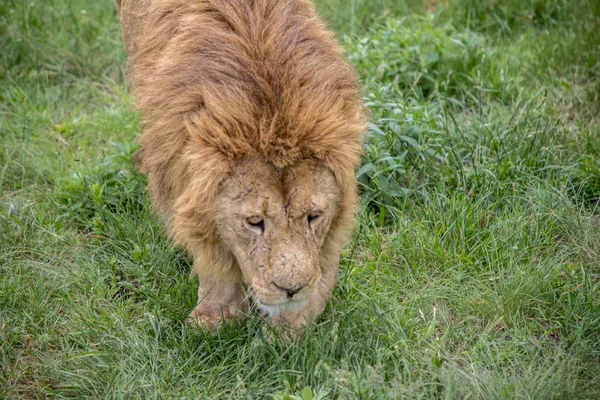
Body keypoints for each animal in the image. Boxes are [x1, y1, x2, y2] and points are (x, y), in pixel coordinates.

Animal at [114, 0, 364, 334]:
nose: (291, 289)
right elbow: (211, 252)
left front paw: (290, 322)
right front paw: (214, 315)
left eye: (314, 216)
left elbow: (324, 266)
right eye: (254, 222)